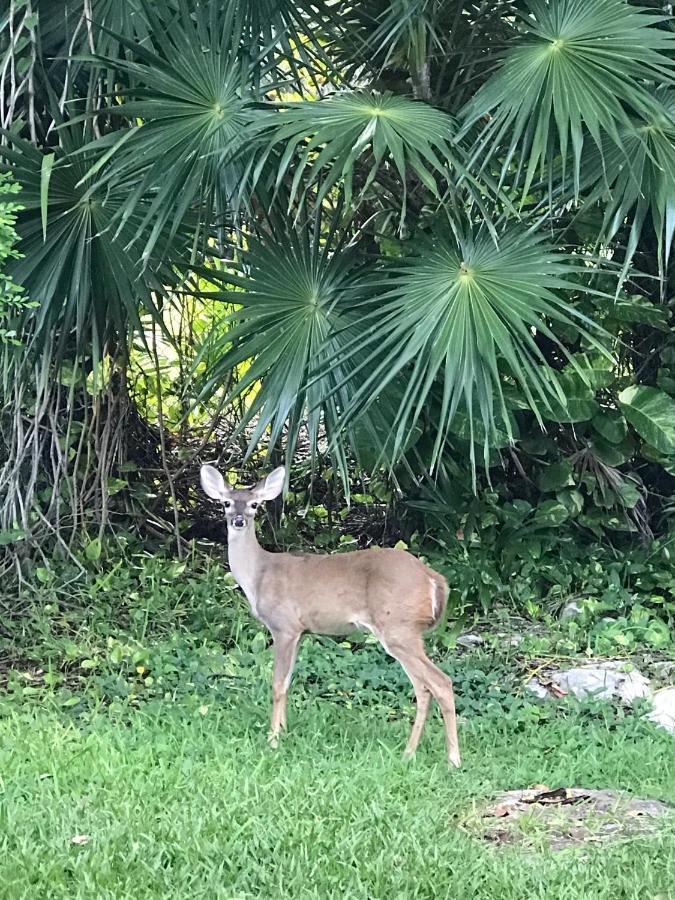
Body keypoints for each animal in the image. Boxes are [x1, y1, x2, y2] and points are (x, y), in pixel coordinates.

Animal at [198, 464, 462, 768]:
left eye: (254, 504)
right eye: (226, 503)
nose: (239, 520)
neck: (258, 576)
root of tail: (434, 580)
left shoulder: (284, 625)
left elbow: (276, 684)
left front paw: (272, 740)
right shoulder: (301, 631)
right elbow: (288, 682)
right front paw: (284, 731)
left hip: (399, 627)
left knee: (439, 682)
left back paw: (452, 760)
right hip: (406, 632)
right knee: (423, 687)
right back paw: (409, 753)